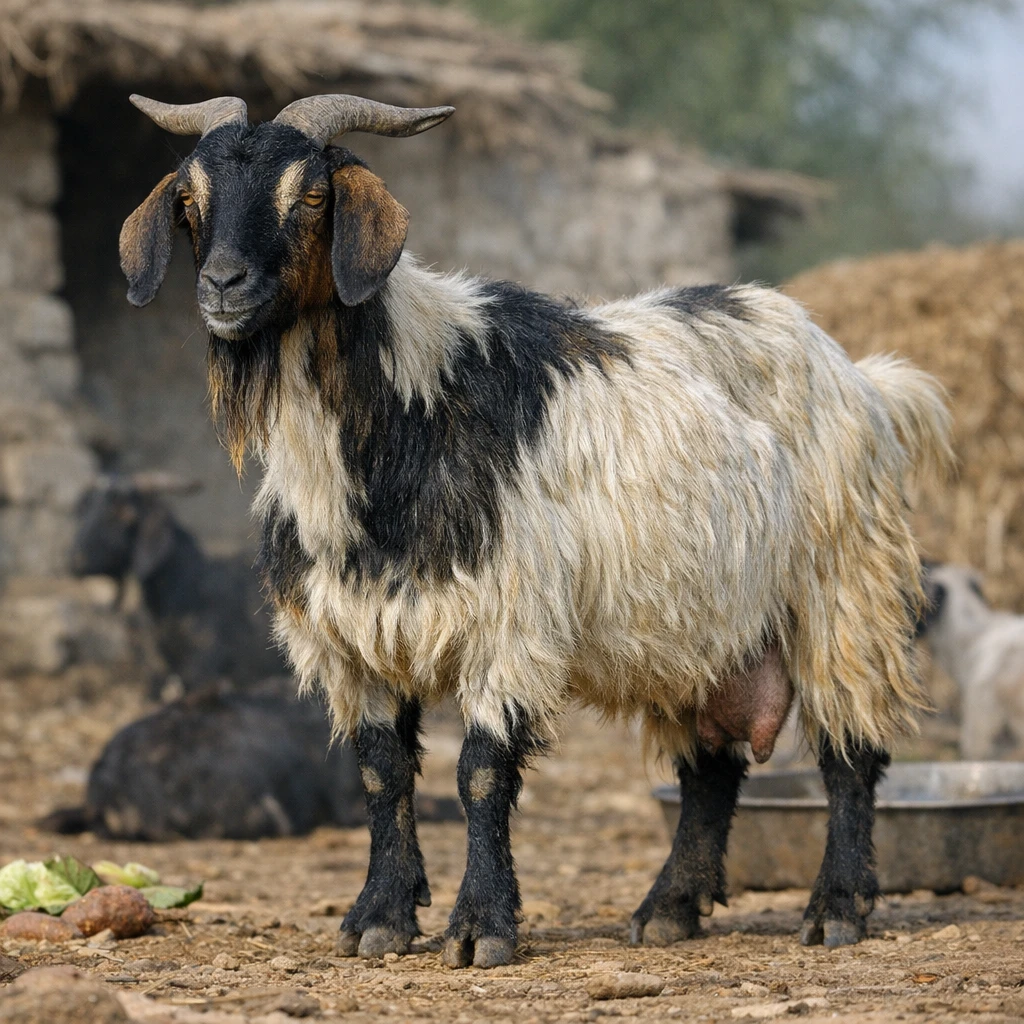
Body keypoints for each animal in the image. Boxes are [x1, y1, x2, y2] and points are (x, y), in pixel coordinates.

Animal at [120, 93, 951, 966]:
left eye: (312, 196)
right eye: (189, 201)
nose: (224, 285)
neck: (402, 415)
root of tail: (863, 378)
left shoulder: (509, 621)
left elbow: (480, 775)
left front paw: (481, 927)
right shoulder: (350, 639)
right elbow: (382, 774)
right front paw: (378, 918)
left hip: (846, 587)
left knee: (851, 751)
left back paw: (838, 908)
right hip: (701, 627)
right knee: (710, 770)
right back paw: (669, 908)